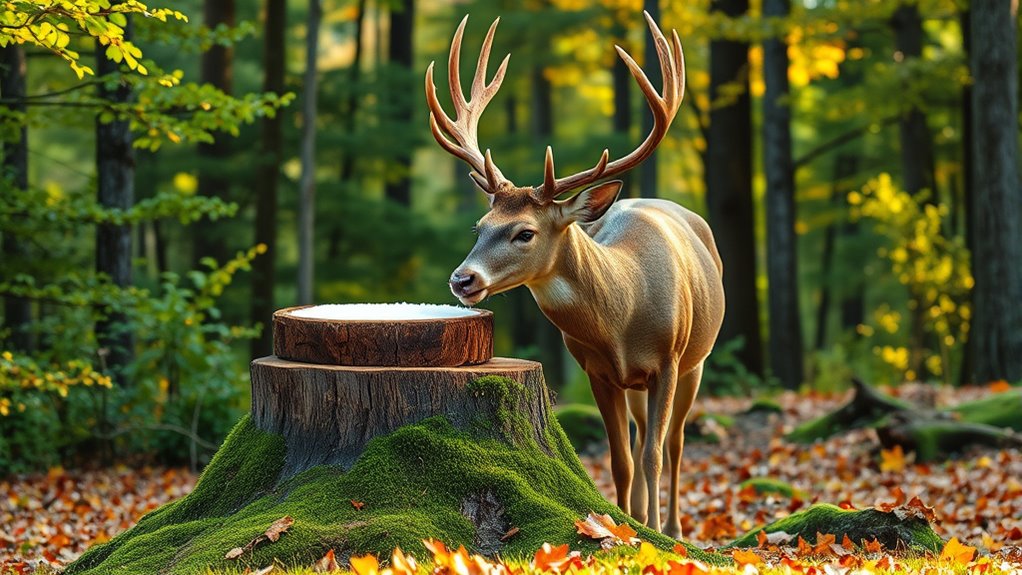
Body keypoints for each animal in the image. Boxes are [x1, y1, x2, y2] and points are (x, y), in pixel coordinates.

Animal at [425, 12, 725, 538]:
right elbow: (620, 459)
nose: (462, 280)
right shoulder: (597, 370)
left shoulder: (668, 361)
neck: (624, 312)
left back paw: (672, 527)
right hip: (638, 384)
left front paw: (654, 532)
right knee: (643, 437)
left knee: (673, 443)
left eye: (524, 232)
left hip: (696, 359)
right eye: (480, 226)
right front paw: (623, 524)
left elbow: (654, 455)